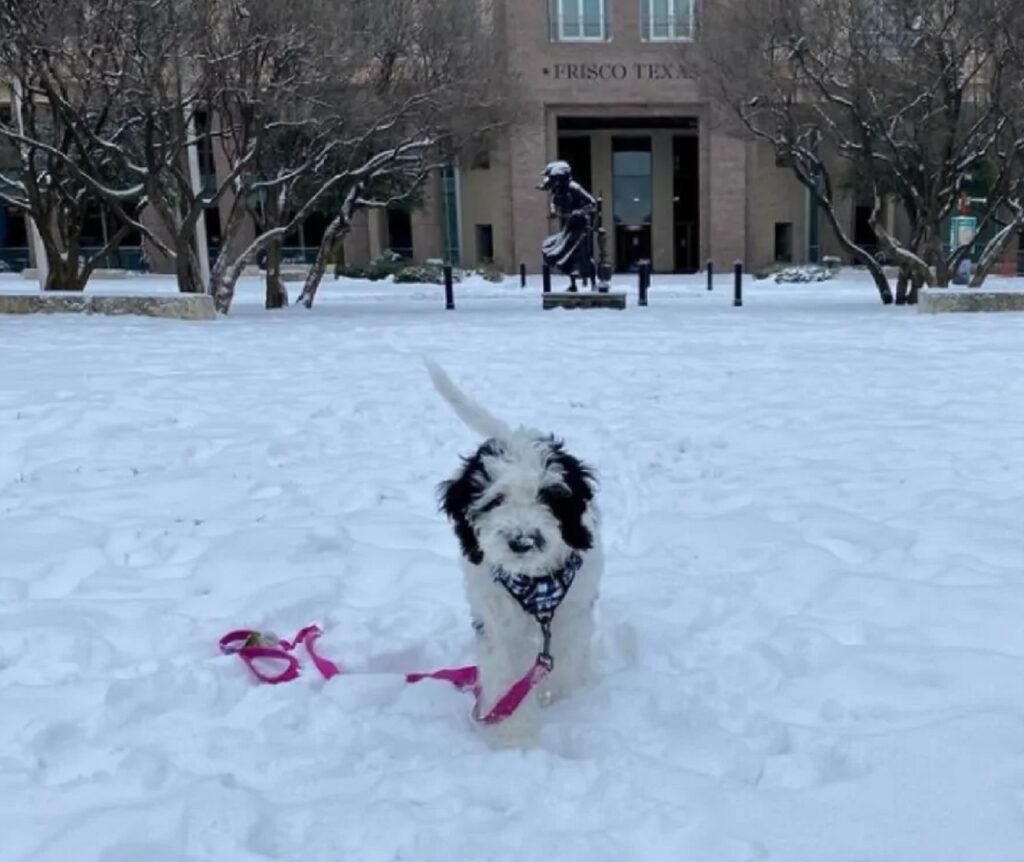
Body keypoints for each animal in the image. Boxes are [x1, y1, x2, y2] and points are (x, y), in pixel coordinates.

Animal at [425, 360, 602, 741]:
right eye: (496, 500)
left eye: (549, 496)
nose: (523, 540)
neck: (536, 581)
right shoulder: (496, 618)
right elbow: (505, 673)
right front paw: (514, 736)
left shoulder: (573, 611)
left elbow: (566, 657)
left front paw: (558, 699)